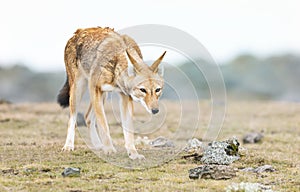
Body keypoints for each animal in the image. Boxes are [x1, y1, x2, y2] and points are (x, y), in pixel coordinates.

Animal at [57, 26, 165, 159]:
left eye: (157, 90)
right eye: (143, 90)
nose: (155, 110)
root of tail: (78, 31)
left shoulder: (125, 97)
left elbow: (128, 131)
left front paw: (133, 154)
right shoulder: (95, 89)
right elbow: (104, 124)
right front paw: (109, 150)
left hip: (104, 96)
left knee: (88, 117)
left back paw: (98, 145)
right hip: (78, 90)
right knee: (73, 118)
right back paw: (68, 146)